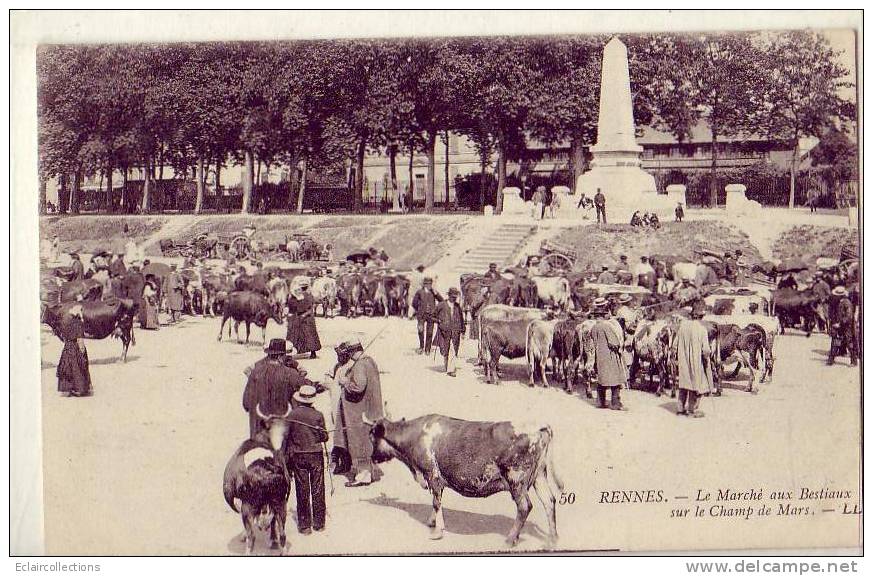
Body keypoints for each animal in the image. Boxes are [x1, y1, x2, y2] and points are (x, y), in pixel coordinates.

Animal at [364, 416, 564, 548]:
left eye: (372, 438)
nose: (372, 457)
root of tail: (538, 426)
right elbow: (436, 502)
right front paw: (431, 521)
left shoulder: (432, 474)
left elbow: (436, 502)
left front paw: (437, 531)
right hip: (539, 476)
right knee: (549, 501)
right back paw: (552, 539)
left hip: (516, 479)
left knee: (524, 507)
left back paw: (510, 539)